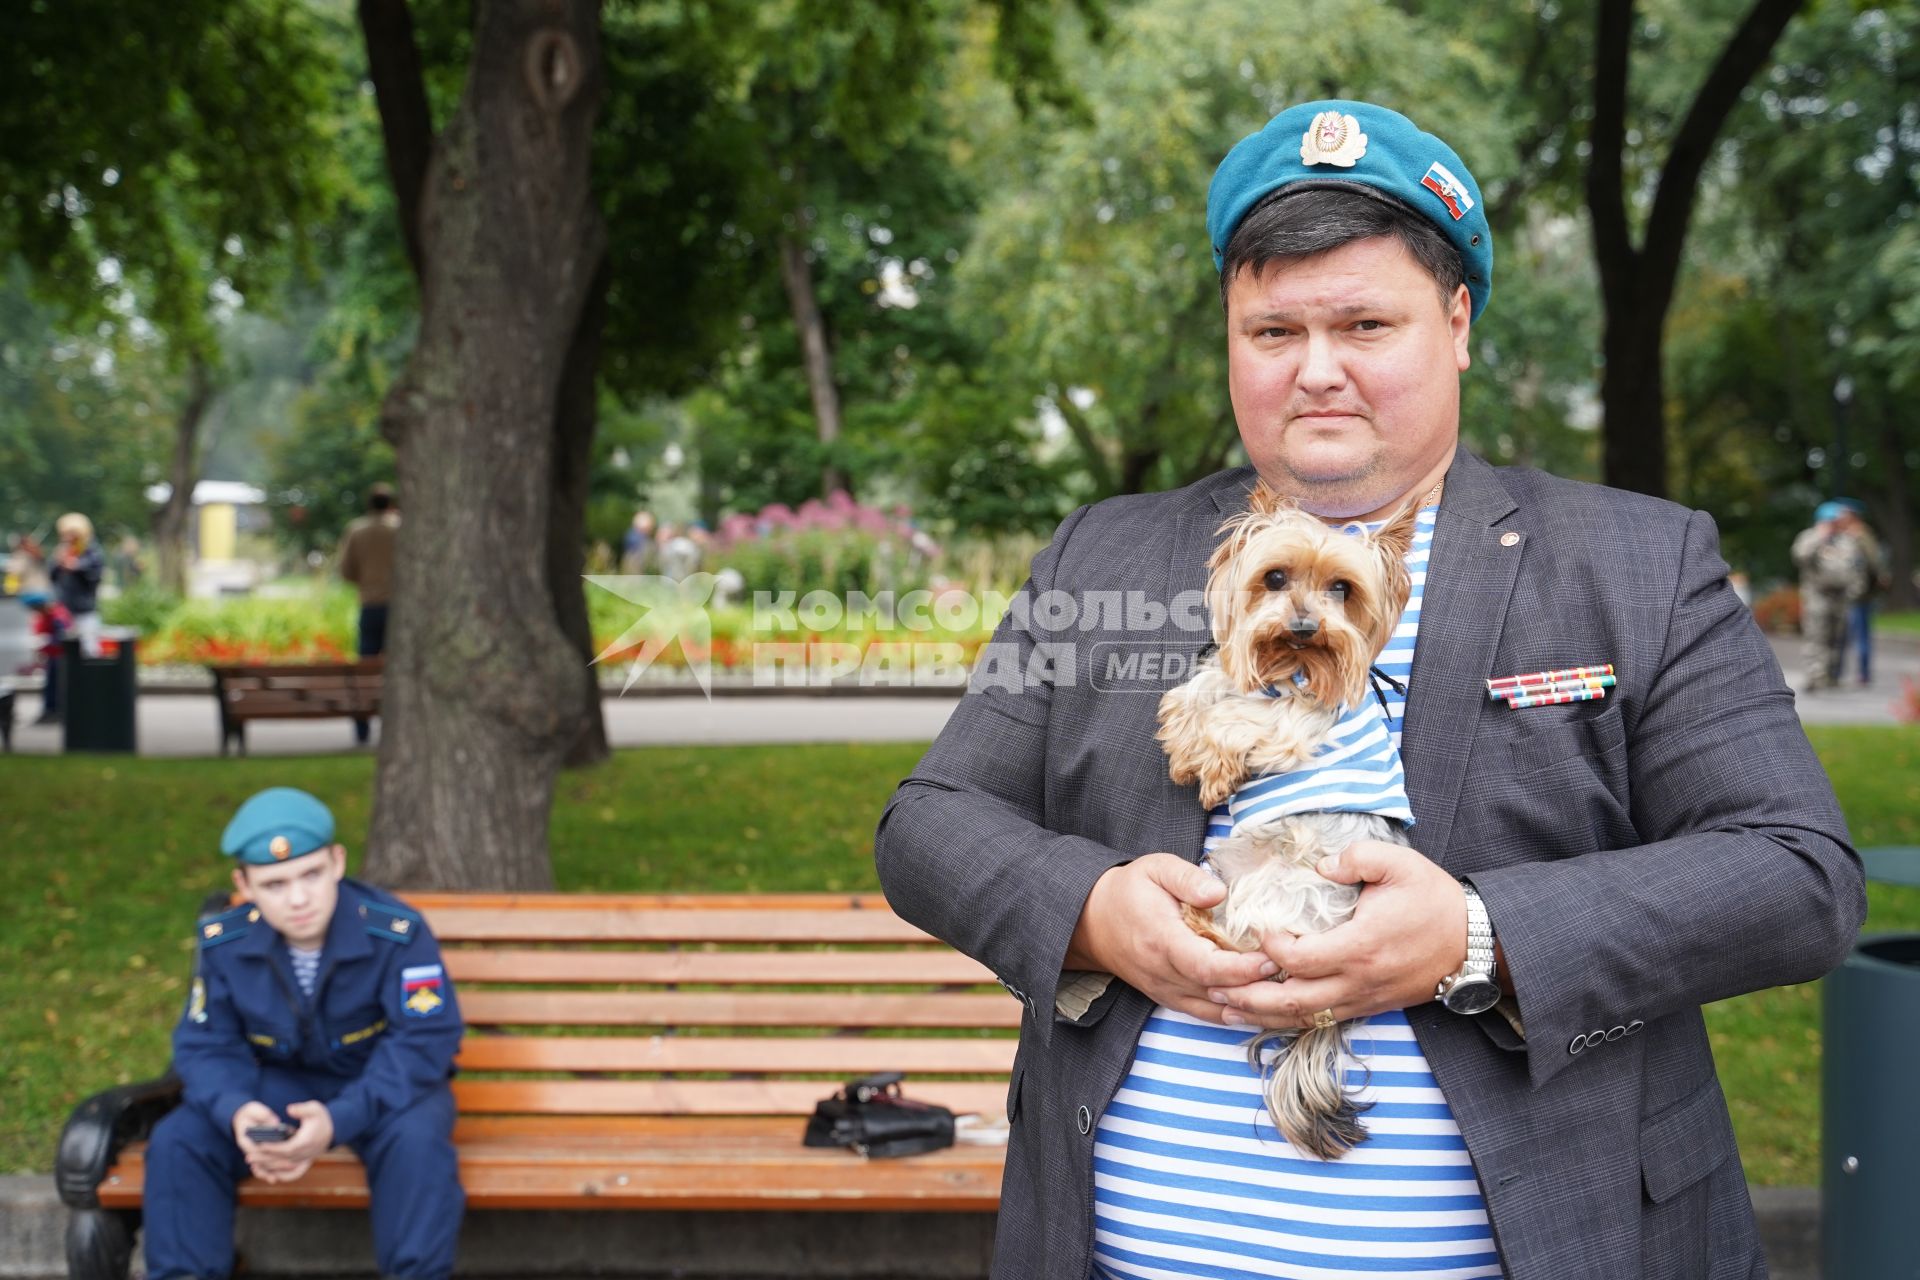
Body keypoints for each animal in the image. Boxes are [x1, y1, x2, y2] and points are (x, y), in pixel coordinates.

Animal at [1144, 483, 1420, 1159]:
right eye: (1274, 578)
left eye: (1342, 589)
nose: (1302, 627)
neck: (1287, 667)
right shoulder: (1237, 674)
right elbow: (1205, 687)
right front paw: (1184, 740)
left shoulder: (1296, 721)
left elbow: (1239, 720)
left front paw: (1212, 764)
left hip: (1282, 889)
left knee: (1251, 945)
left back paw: (1201, 921)